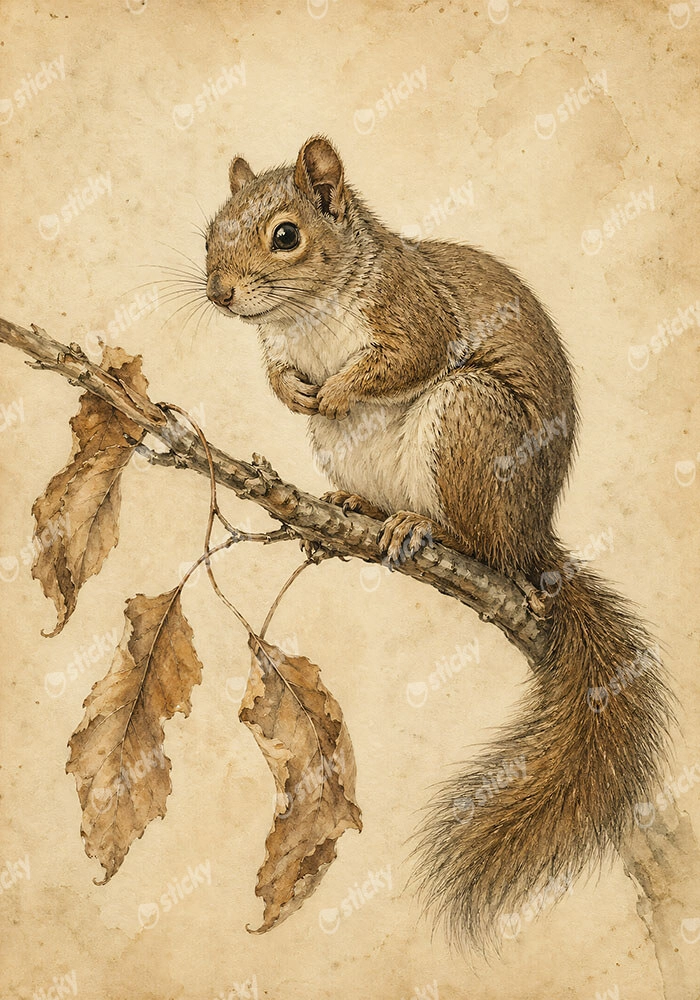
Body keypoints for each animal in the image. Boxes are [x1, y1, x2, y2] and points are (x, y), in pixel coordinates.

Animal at [204, 136, 673, 947]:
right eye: (210, 230)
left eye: (286, 236)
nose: (219, 292)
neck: (307, 315)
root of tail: (535, 541)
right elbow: (276, 376)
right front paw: (293, 390)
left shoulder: (414, 311)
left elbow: (405, 359)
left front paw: (338, 387)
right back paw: (355, 504)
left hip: (470, 422)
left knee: (481, 543)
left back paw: (421, 526)